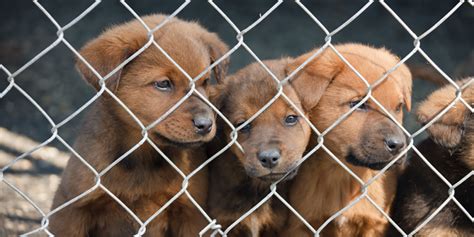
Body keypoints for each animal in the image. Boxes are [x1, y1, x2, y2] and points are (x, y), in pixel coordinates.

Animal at [49, 15, 230, 237]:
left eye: (205, 82)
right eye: (163, 83)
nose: (206, 124)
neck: (143, 157)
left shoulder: (191, 213)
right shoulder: (72, 207)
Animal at [284, 43, 412, 236]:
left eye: (399, 107)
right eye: (358, 104)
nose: (398, 145)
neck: (344, 174)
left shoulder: (374, 225)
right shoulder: (300, 226)